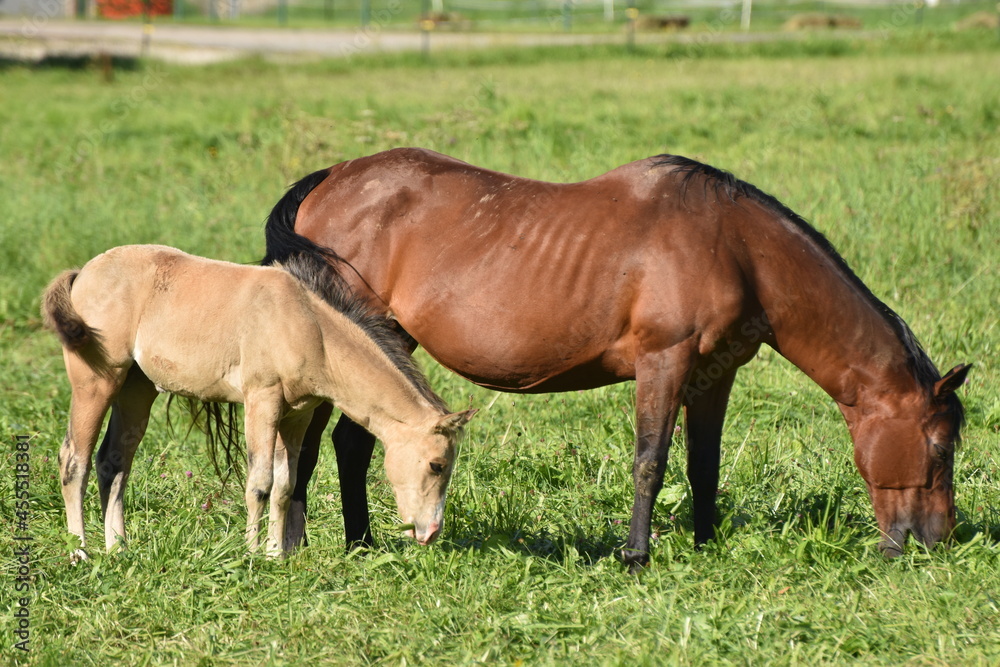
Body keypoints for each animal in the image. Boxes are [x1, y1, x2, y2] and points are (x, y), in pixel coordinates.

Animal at [42, 244, 472, 560]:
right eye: (437, 464)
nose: (430, 532)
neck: (308, 325)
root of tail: (83, 273)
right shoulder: (261, 400)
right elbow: (259, 483)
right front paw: (251, 555)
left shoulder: (297, 416)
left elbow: (285, 484)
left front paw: (275, 555)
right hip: (96, 383)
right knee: (74, 461)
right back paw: (80, 554)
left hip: (136, 390)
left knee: (113, 463)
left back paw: (118, 549)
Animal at [264, 147, 968, 568]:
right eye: (939, 448)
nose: (935, 540)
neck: (736, 246)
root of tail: (330, 180)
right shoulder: (664, 361)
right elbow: (650, 460)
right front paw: (635, 555)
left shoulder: (714, 375)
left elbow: (703, 463)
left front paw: (706, 544)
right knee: (314, 441)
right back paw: (310, 544)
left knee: (351, 442)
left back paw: (359, 544)